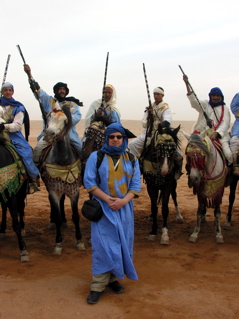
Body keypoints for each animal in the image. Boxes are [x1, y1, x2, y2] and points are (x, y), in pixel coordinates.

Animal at [40, 104, 86, 255]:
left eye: (65, 121)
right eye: (49, 118)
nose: (49, 134)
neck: (62, 159)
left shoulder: (74, 190)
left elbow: (76, 216)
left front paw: (80, 241)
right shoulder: (54, 190)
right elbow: (58, 216)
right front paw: (58, 243)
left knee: (62, 201)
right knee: (54, 205)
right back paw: (52, 220)